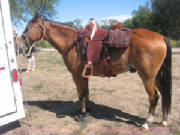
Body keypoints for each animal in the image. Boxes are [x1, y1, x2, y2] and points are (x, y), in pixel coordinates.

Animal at [22, 13, 172, 129]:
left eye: (27, 28)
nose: (23, 48)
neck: (72, 42)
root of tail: (161, 37)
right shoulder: (84, 75)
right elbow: (86, 92)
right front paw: (88, 110)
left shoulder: (77, 76)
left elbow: (81, 93)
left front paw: (82, 115)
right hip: (157, 77)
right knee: (164, 94)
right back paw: (164, 120)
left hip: (147, 78)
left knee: (154, 97)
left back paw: (146, 123)